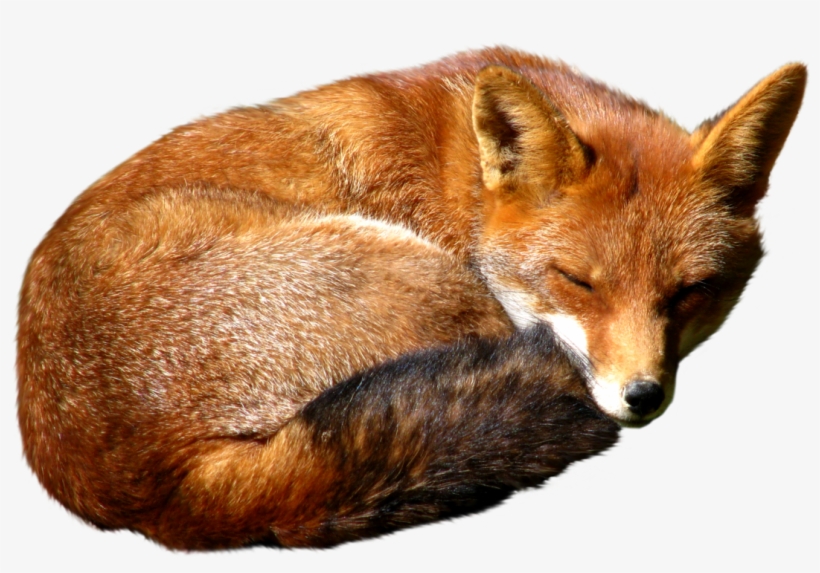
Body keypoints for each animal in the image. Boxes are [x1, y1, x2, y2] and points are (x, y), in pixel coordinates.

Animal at [16, 47, 805, 549]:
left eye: (692, 293)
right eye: (578, 281)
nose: (641, 396)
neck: (461, 182)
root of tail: (153, 493)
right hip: (430, 280)